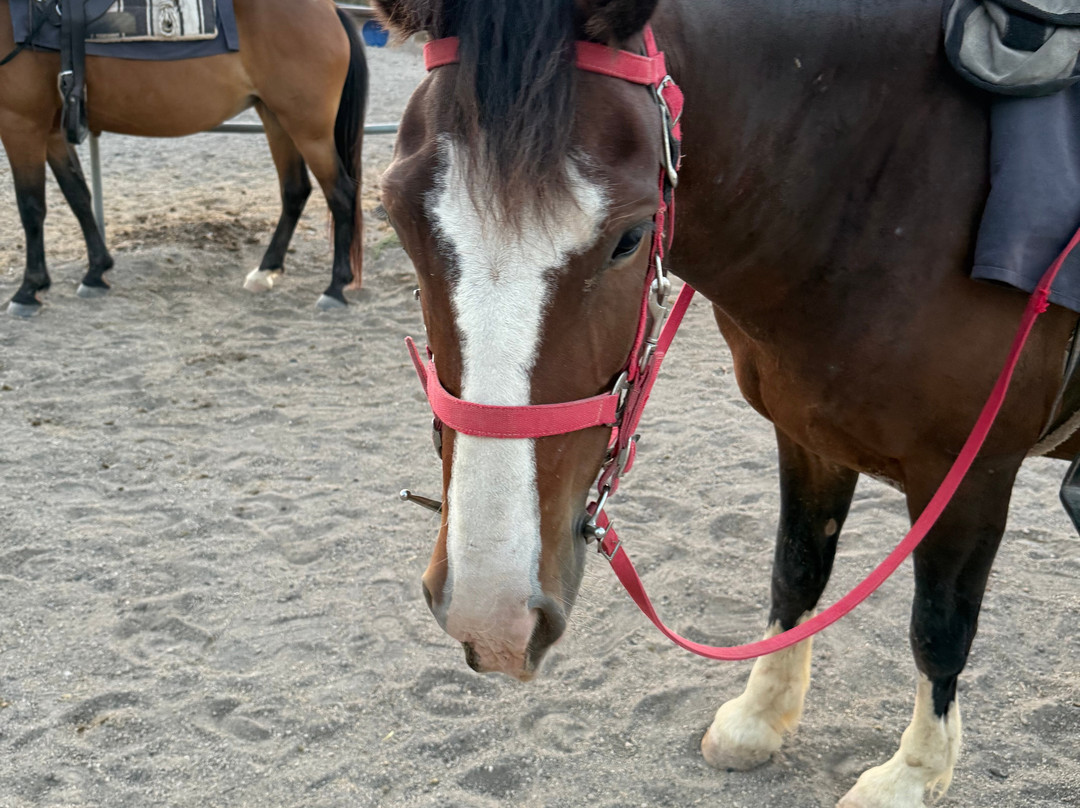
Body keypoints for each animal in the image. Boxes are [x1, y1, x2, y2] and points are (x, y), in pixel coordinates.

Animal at [0, 0, 367, 316]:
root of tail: (330, 10)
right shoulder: (49, 131)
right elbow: (77, 195)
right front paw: (95, 272)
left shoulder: (20, 124)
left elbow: (31, 207)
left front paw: (28, 290)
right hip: (276, 119)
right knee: (295, 191)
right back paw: (266, 271)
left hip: (309, 131)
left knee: (341, 194)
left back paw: (335, 287)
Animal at [377, 0, 1080, 805]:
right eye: (395, 218)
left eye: (630, 237)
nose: (489, 614)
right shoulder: (808, 437)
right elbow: (796, 571)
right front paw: (760, 717)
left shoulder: (971, 471)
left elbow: (939, 626)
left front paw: (914, 773)